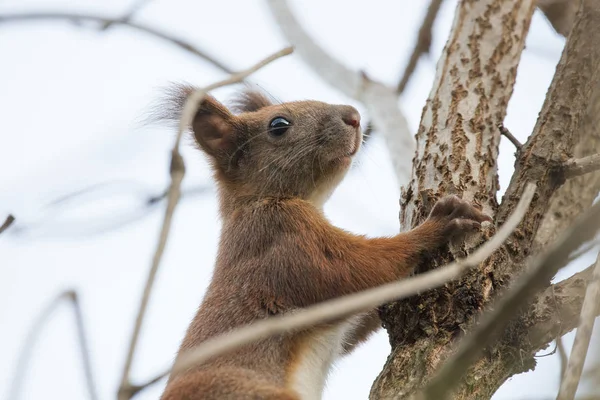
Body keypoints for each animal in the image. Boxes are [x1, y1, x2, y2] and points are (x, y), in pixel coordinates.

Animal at [158, 86, 492, 400]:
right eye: (278, 125)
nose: (353, 116)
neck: (258, 202)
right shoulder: (282, 237)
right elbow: (355, 269)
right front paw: (439, 225)